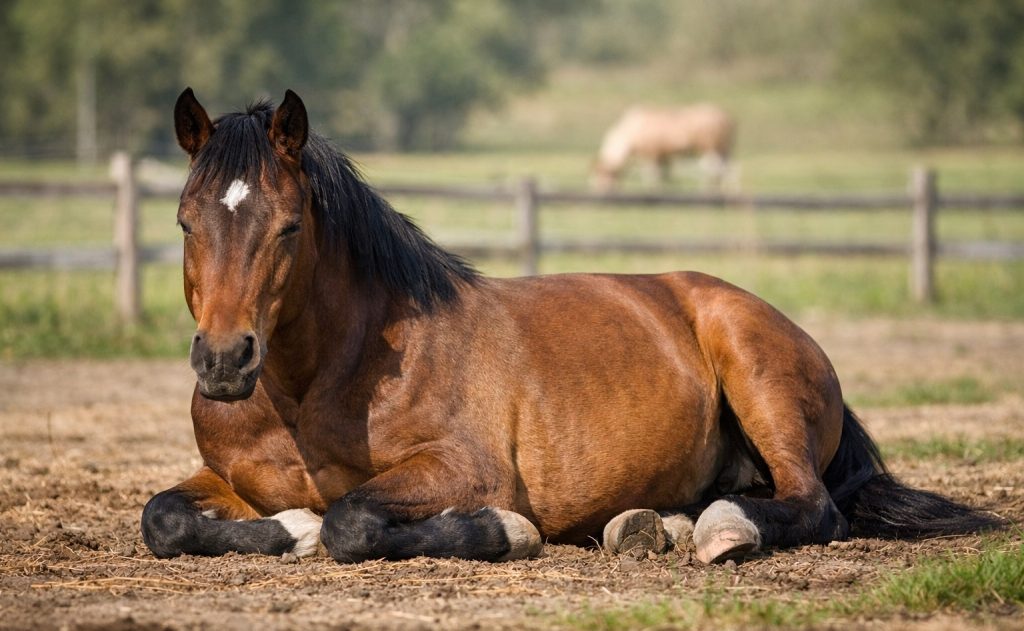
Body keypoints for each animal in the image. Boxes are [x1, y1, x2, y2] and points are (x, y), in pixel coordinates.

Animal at [591, 104, 736, 193]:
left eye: (603, 174)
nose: (599, 190)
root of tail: (726, 117)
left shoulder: (650, 153)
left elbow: (652, 174)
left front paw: (651, 189)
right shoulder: (663, 156)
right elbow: (664, 175)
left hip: (709, 148)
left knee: (713, 169)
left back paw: (709, 189)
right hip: (724, 149)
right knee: (728, 169)